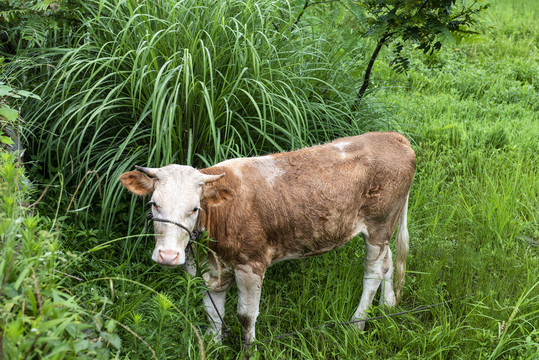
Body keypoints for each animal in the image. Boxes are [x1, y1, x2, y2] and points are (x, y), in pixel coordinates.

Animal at [120, 131, 418, 346]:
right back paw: (388, 306)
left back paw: (357, 325)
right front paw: (213, 345)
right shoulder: (209, 269)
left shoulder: (251, 265)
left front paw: (249, 350)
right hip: (384, 229)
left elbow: (246, 316)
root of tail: (392, 136)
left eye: (195, 208)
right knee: (388, 262)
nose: (168, 256)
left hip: (379, 226)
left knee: (373, 273)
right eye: (154, 204)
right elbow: (212, 314)